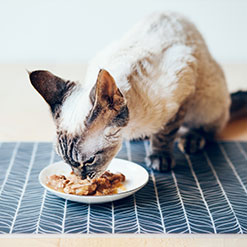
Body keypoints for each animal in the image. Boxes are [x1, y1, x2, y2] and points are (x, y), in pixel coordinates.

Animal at [28, 12, 245, 179]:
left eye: (89, 161)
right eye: (66, 162)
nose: (80, 178)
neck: (130, 128)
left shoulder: (182, 91)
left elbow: (164, 134)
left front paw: (159, 158)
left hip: (206, 102)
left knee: (209, 128)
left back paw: (191, 139)